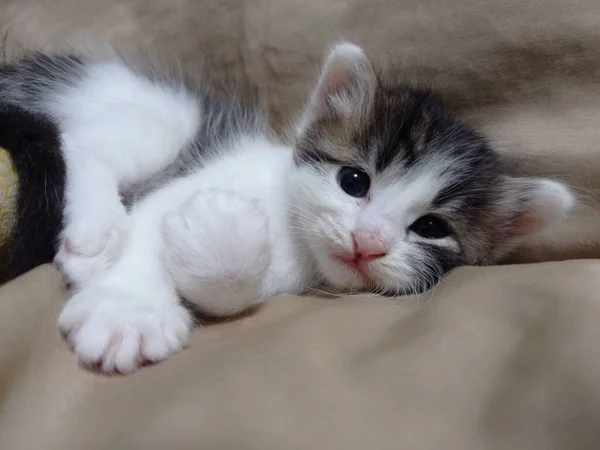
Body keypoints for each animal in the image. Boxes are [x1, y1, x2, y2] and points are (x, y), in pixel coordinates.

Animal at [0, 43, 572, 372]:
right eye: (353, 181)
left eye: (430, 227)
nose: (368, 242)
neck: (292, 233)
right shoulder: (200, 174)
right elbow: (155, 219)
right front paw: (130, 309)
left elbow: (227, 286)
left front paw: (218, 233)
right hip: (162, 121)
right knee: (77, 140)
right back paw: (96, 233)